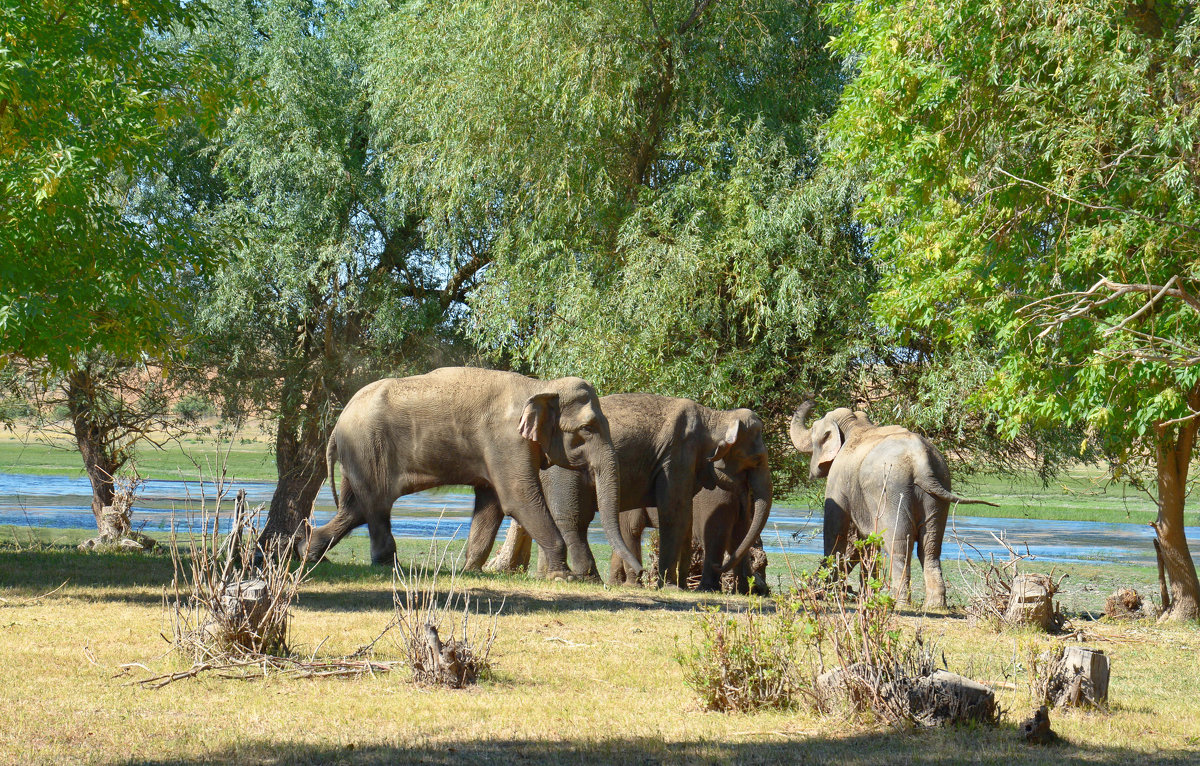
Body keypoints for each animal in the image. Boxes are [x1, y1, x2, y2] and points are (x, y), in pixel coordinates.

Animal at [309, 367, 648, 581]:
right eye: (587, 429)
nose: (641, 573)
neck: (540, 387)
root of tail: (337, 423)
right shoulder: (506, 441)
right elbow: (519, 499)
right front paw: (563, 577)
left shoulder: (498, 449)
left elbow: (491, 505)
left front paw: (471, 570)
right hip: (368, 448)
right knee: (376, 507)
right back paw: (388, 567)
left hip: (359, 455)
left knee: (354, 510)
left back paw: (309, 553)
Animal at [458, 393, 768, 590]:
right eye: (755, 459)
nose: (643, 572)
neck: (714, 415)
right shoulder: (678, 455)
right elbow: (673, 514)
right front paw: (666, 587)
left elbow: (679, 517)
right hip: (564, 470)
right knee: (572, 519)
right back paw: (588, 578)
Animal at [792, 403, 998, 612]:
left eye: (813, 431)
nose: (811, 400)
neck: (857, 425)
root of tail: (921, 461)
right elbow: (868, 540)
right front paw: (867, 596)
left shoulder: (838, 480)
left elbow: (836, 531)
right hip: (939, 490)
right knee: (930, 548)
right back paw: (934, 606)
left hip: (892, 490)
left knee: (898, 545)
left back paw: (898, 602)